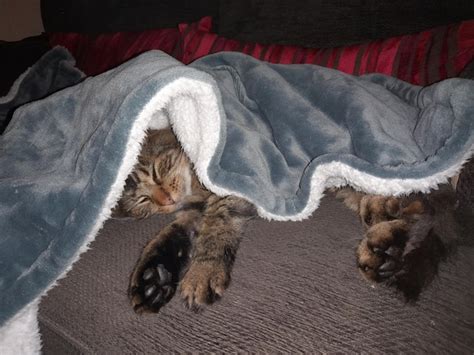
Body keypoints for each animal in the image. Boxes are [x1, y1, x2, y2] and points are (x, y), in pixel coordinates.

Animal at [118, 129, 466, 314]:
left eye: (157, 170)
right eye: (142, 201)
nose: (164, 198)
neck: (193, 190)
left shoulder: (230, 189)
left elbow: (214, 229)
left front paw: (202, 271)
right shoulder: (189, 211)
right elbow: (169, 234)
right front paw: (153, 277)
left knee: (419, 203)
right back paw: (384, 247)